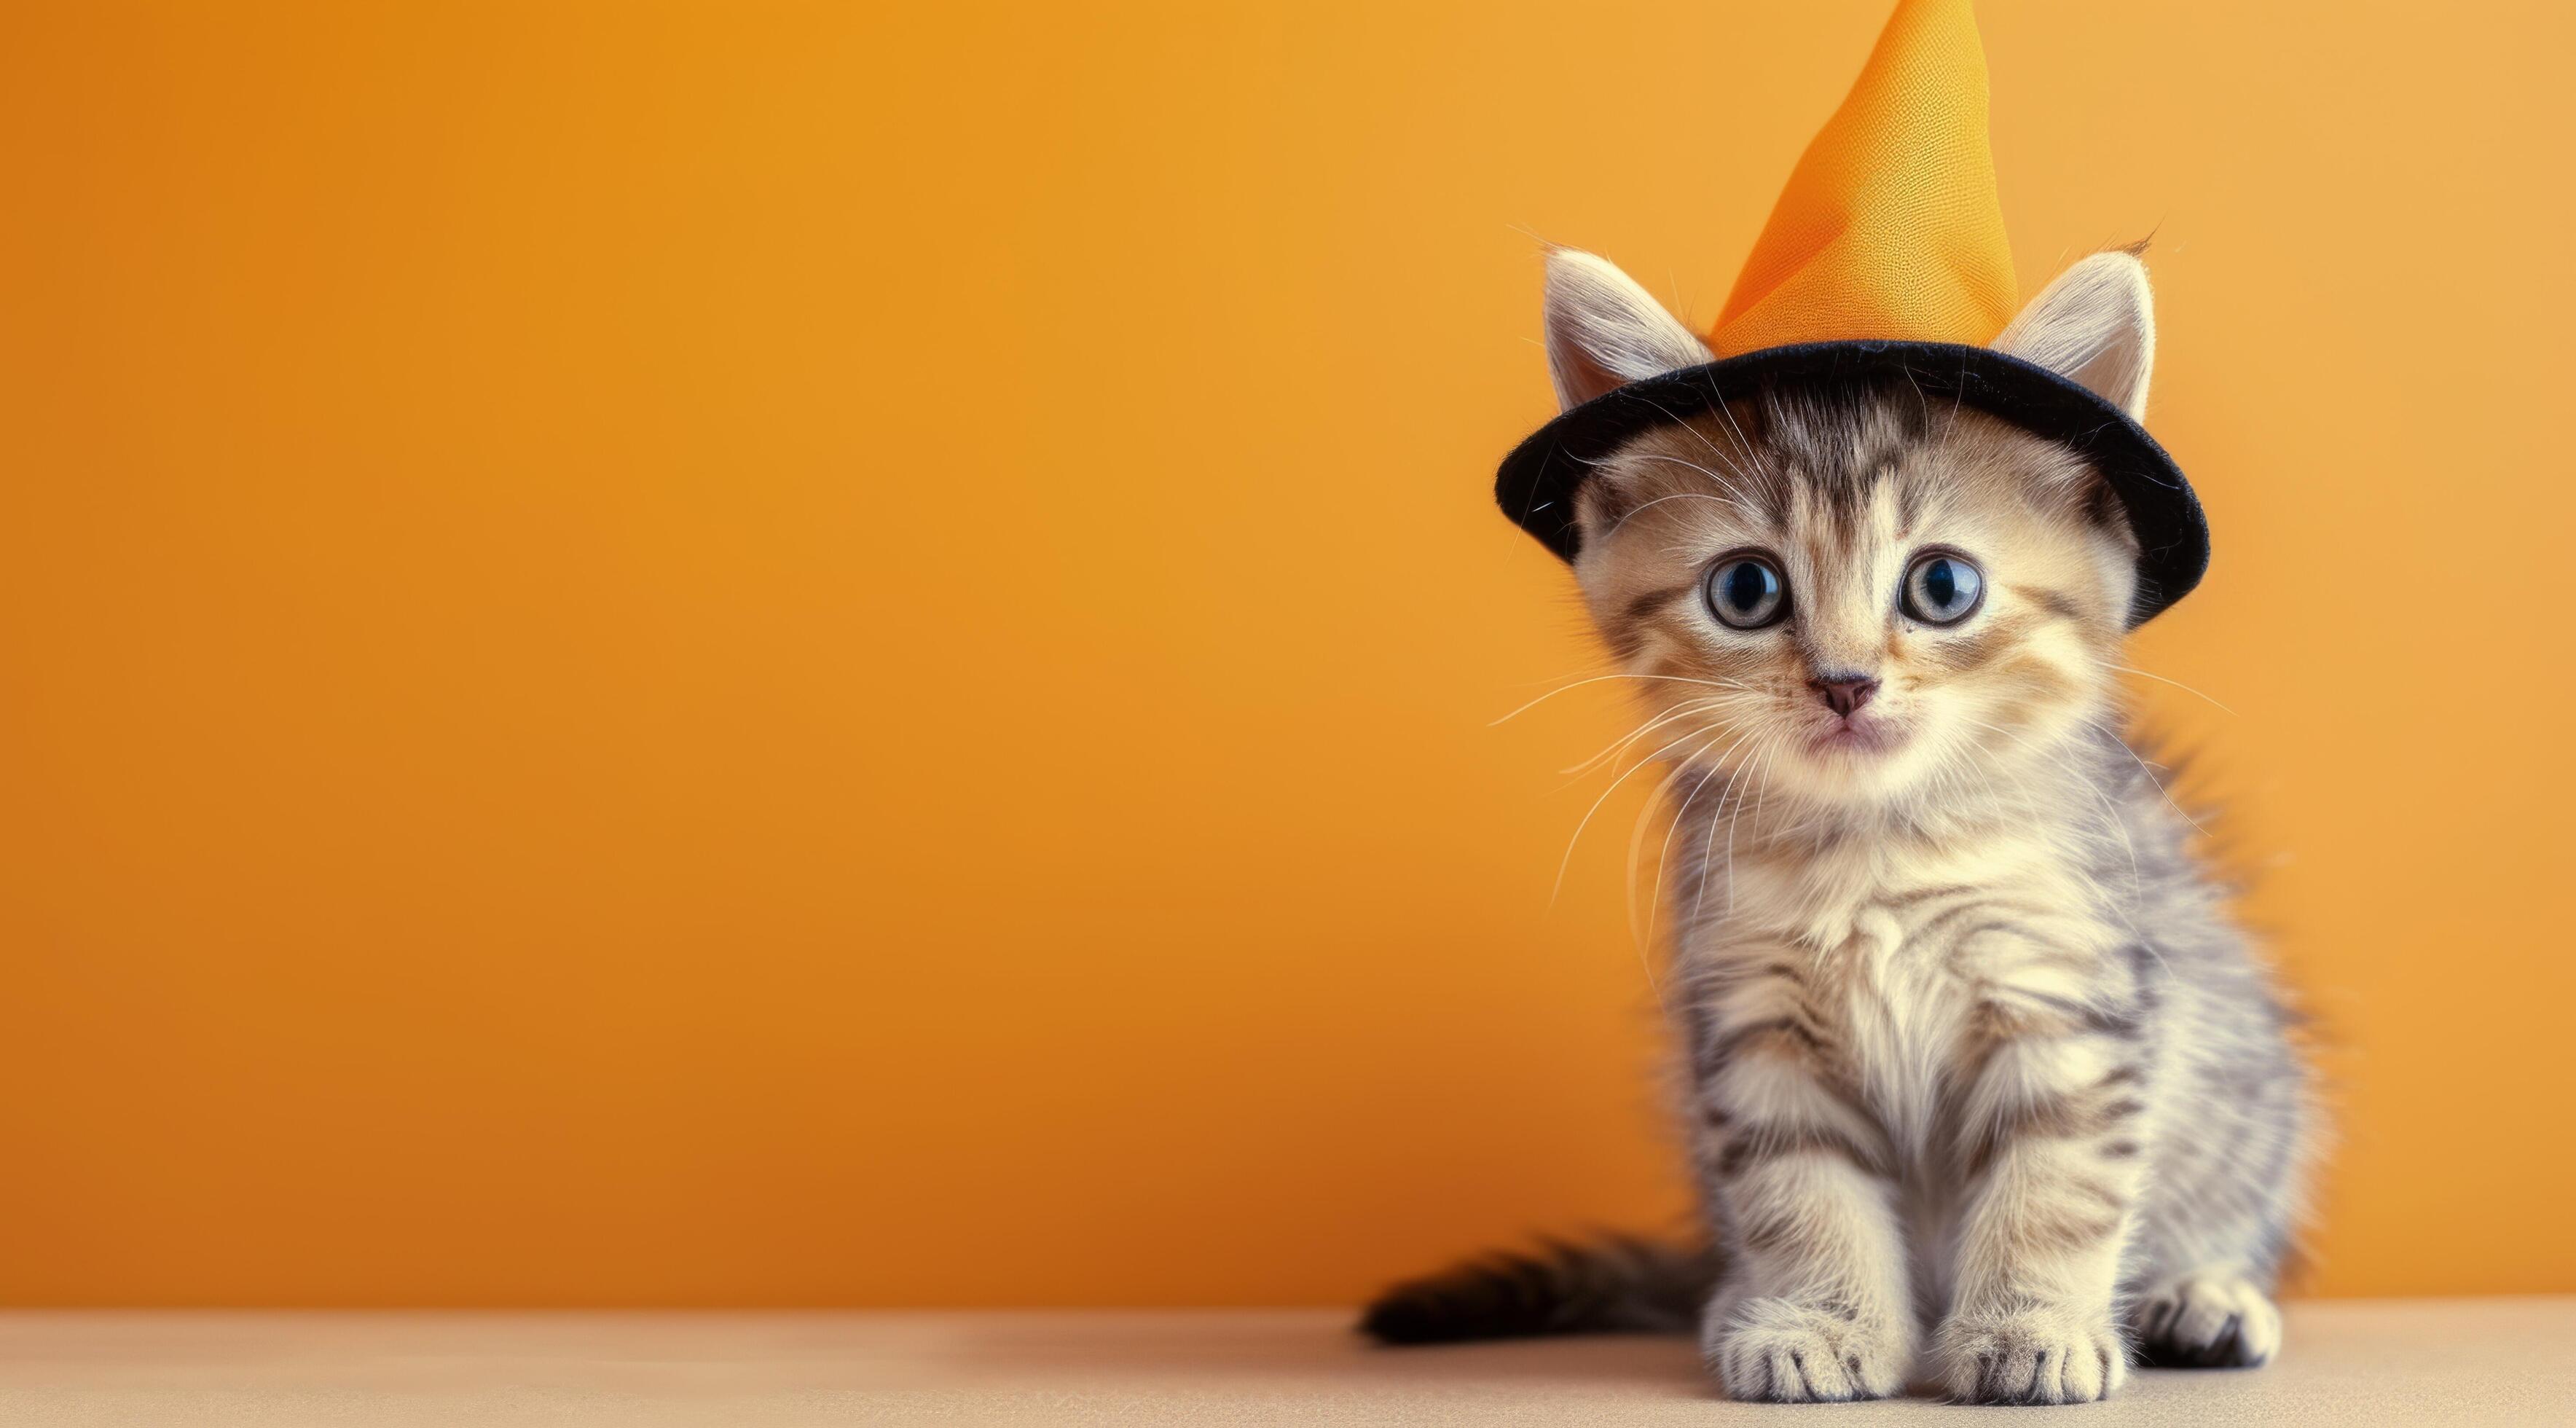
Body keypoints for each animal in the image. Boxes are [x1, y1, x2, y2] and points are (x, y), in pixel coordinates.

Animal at [1370, 247, 2318, 1402]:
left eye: (1942, 585)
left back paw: (2205, 1293)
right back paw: (1738, 1301)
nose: (1845, 683)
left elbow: (2055, 1184)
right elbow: (1801, 1192)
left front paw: (2032, 1324)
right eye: (1745, 589)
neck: (1875, 851)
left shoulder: (2066, 998)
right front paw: (1816, 1322)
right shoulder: (1754, 1022)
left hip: (2247, 1087)